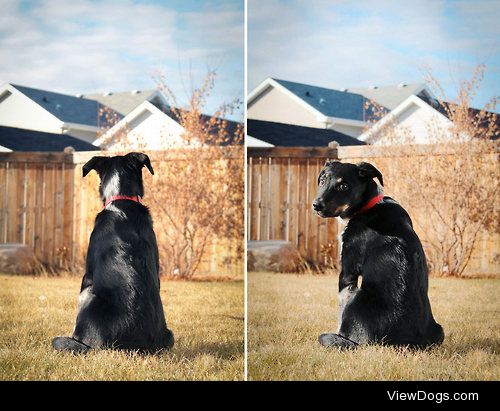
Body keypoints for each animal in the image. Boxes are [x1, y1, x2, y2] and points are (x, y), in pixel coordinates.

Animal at [314, 163, 444, 350]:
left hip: (357, 296)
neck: (369, 206)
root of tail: (406, 343)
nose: (316, 205)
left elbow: (340, 310)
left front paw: (339, 333)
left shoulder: (347, 272)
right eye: (323, 180)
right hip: (440, 330)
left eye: (344, 186)